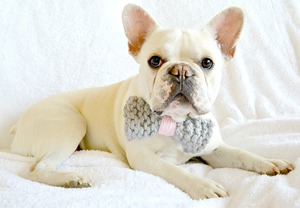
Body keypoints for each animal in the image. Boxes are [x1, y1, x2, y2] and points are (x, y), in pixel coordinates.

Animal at [8, 4, 292, 199]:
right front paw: (203, 185)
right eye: (155, 61)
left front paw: (269, 162)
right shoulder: (144, 158)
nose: (181, 70)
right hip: (70, 124)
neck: (178, 122)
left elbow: (242, 154)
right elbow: (176, 171)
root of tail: (15, 128)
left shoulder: (213, 149)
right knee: (37, 168)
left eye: (207, 63)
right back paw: (69, 178)